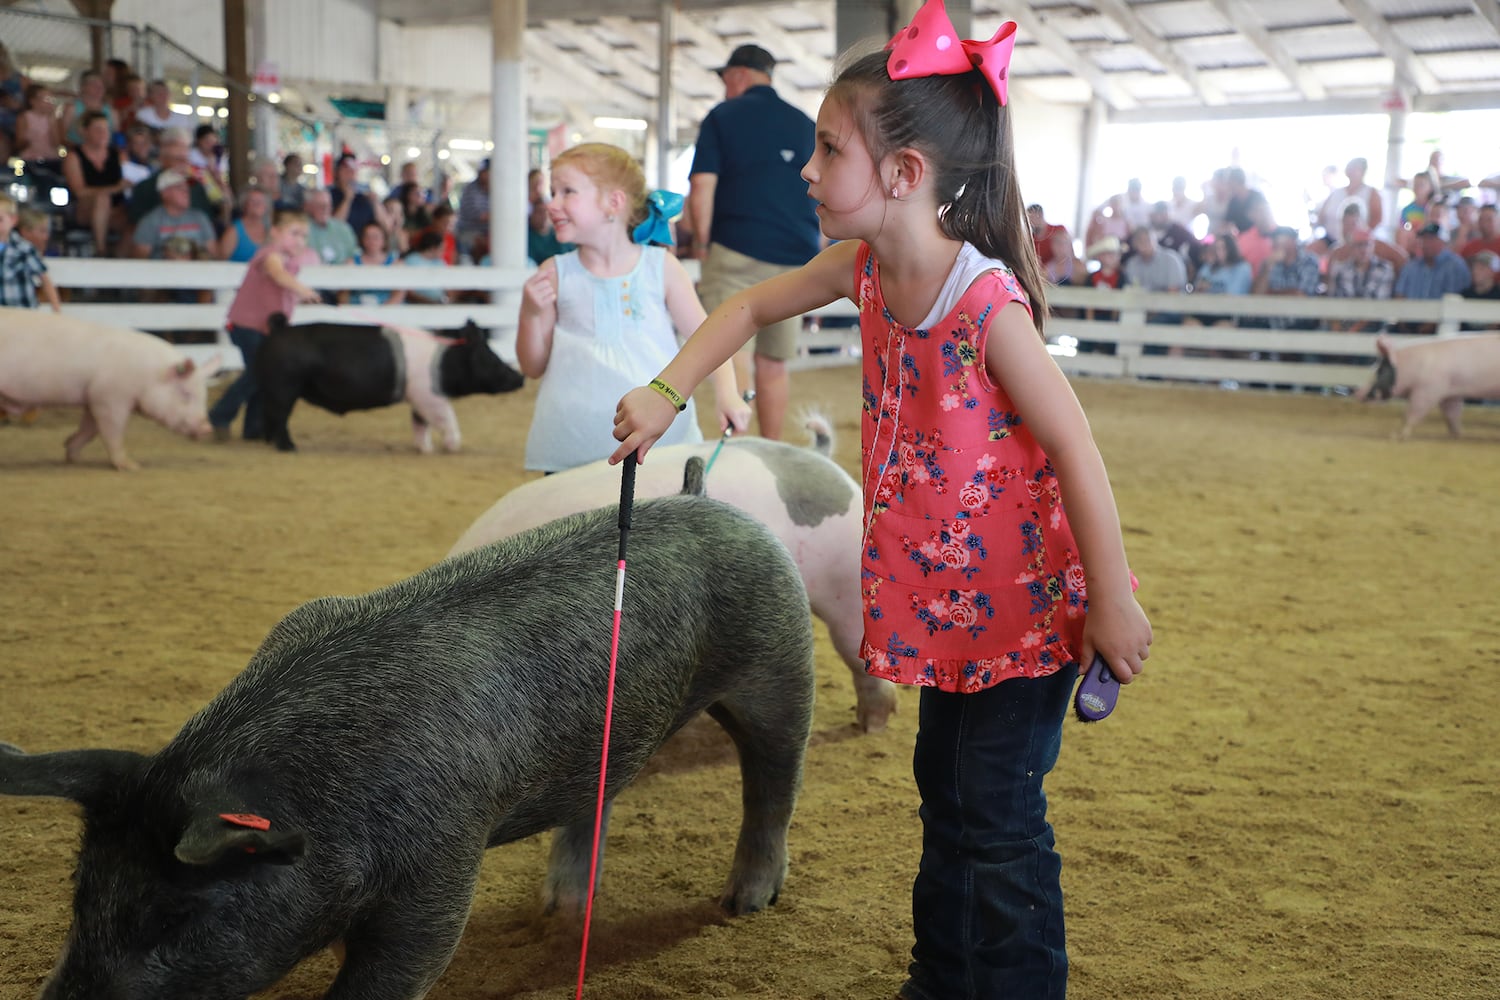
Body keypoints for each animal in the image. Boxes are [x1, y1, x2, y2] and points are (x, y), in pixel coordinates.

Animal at [0, 307, 214, 470]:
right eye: (186, 393)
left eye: (204, 395)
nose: (207, 428)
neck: (148, 374)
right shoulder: (110, 397)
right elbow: (113, 431)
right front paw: (132, 466)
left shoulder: (93, 395)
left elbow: (89, 429)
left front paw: (73, 455)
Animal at [0, 494, 816, 1000]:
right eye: (80, 897)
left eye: (174, 921)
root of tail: (712, 500)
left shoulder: (443, 857)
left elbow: (407, 961)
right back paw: (558, 905)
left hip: (782, 658)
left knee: (775, 776)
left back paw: (746, 902)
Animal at [262, 314, 528, 452]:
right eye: (491, 358)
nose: (521, 377)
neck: (446, 361)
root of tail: (277, 331)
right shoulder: (429, 395)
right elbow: (446, 417)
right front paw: (453, 447)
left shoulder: (419, 398)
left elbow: (420, 423)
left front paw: (425, 449)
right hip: (285, 386)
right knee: (279, 416)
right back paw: (288, 447)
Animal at [1356, 334, 1500, 440]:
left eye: (1379, 370)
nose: (1357, 392)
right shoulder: (1450, 394)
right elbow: (1452, 415)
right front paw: (1457, 435)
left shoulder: (1428, 390)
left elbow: (1412, 412)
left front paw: (1397, 436)